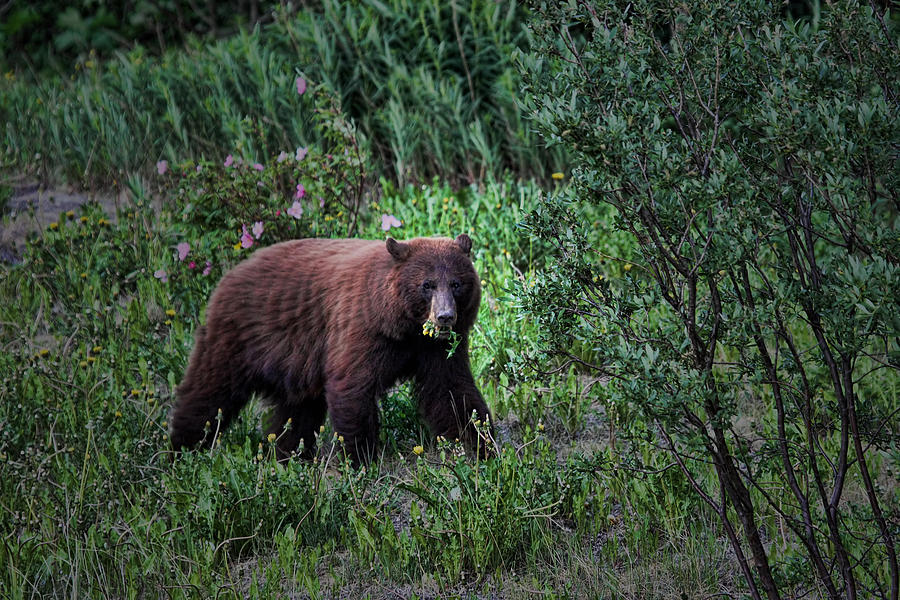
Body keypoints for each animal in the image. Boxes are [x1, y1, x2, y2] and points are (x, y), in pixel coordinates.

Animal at [169, 234, 492, 464]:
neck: (403, 326)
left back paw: (288, 455)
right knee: (210, 392)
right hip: (238, 336)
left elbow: (451, 391)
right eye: (427, 284)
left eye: (456, 283)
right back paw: (182, 449)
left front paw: (479, 444)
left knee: (297, 412)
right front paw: (359, 458)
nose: (445, 317)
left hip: (296, 362)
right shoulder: (361, 327)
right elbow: (352, 385)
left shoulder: (436, 349)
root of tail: (229, 274)